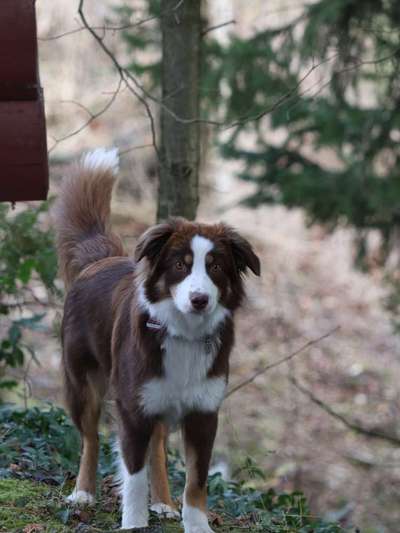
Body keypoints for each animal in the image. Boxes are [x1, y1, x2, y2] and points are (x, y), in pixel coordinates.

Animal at [54, 149, 260, 532]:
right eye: (180, 265)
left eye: (216, 267)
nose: (199, 299)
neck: (184, 334)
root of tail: (101, 259)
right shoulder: (133, 409)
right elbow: (134, 477)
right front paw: (134, 522)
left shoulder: (203, 414)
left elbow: (196, 482)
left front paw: (196, 524)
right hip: (82, 381)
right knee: (90, 437)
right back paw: (83, 492)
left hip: (159, 400)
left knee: (159, 447)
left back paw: (163, 502)